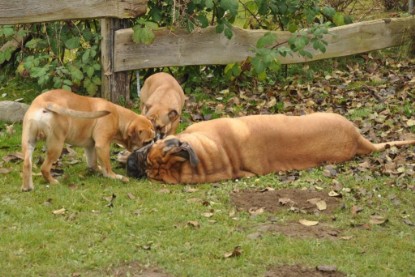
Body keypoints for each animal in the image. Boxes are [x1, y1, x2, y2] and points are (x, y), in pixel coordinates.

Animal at [21, 89, 154, 191]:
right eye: (146, 142)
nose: (152, 145)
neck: (119, 117)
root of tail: (46, 103)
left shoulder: (90, 147)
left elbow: (93, 162)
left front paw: (96, 169)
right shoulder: (102, 145)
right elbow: (107, 165)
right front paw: (112, 176)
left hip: (28, 142)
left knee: (27, 164)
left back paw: (27, 187)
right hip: (56, 144)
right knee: (44, 167)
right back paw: (53, 182)